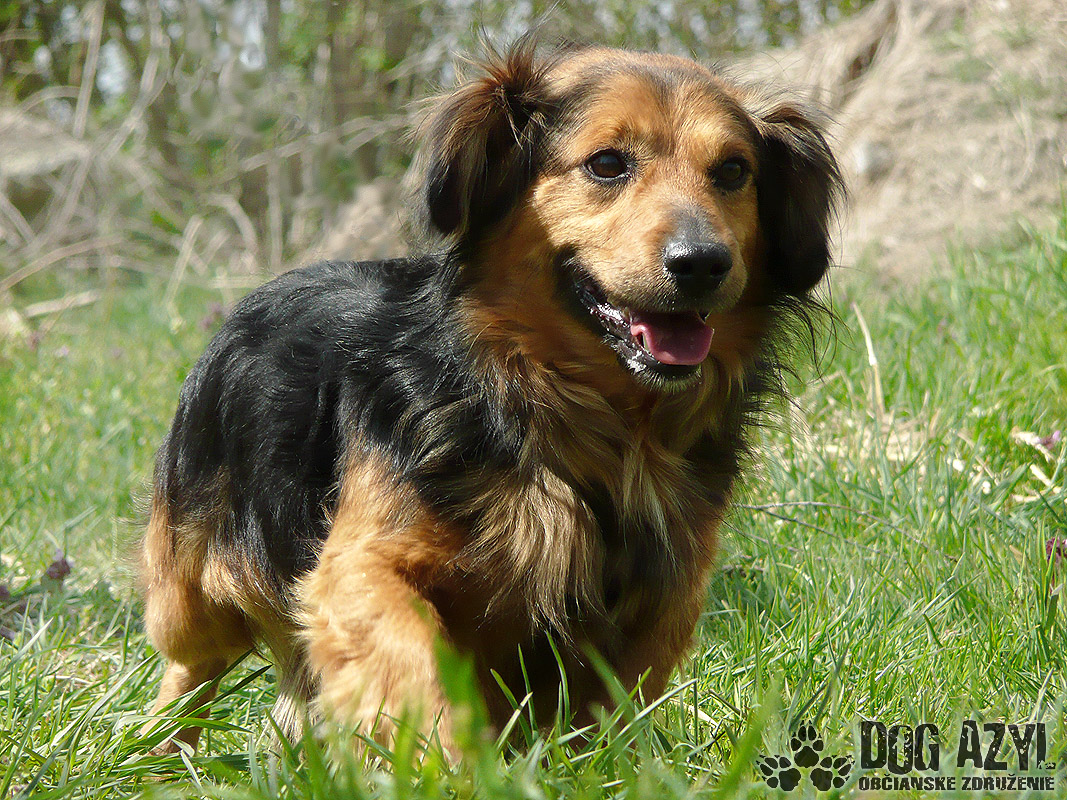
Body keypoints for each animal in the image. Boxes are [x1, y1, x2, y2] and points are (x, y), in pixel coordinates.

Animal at [139, 38, 842, 755]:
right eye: (607, 163)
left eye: (732, 171)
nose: (701, 261)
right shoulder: (356, 568)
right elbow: (410, 662)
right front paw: (446, 761)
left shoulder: (664, 597)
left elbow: (606, 715)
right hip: (191, 591)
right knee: (188, 666)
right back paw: (156, 747)